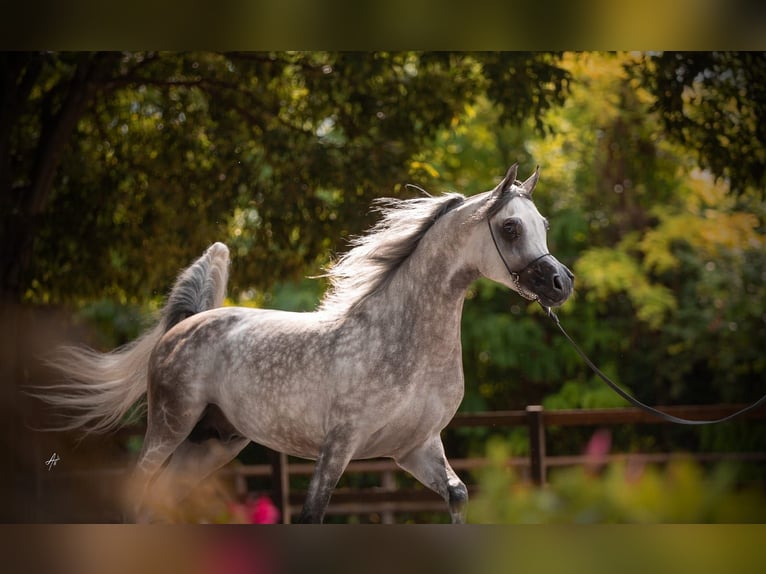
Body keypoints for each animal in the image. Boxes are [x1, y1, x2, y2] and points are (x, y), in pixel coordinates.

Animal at [39, 164, 572, 524]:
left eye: (544, 224)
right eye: (510, 227)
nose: (561, 283)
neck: (401, 344)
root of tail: (184, 327)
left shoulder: (415, 448)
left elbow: (458, 497)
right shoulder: (339, 444)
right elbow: (313, 514)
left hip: (213, 442)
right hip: (170, 428)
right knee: (138, 495)